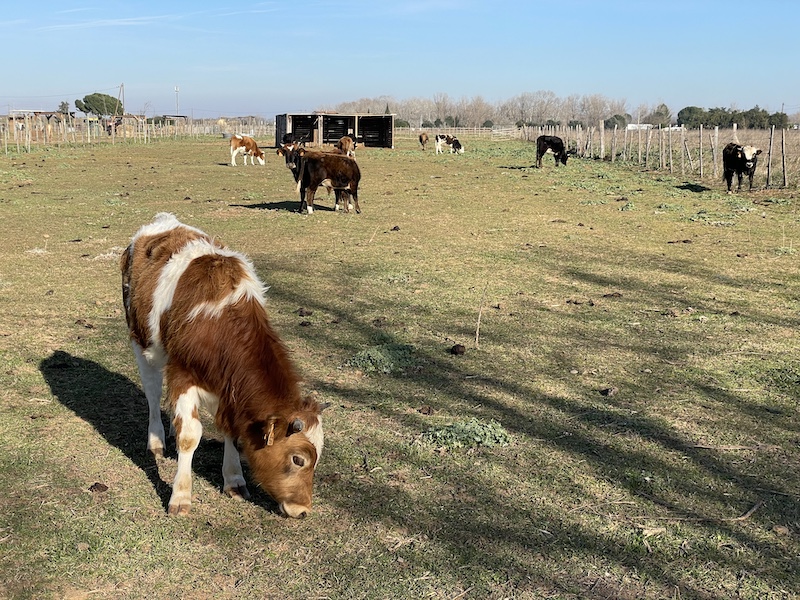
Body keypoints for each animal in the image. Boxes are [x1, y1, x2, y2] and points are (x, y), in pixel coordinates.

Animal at [120, 213, 325, 518]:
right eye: (298, 459)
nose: (303, 510)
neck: (221, 322)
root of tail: (162, 220)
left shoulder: (230, 390)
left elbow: (230, 430)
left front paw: (234, 480)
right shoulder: (183, 374)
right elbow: (189, 437)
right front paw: (180, 495)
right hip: (142, 341)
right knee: (153, 392)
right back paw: (156, 440)